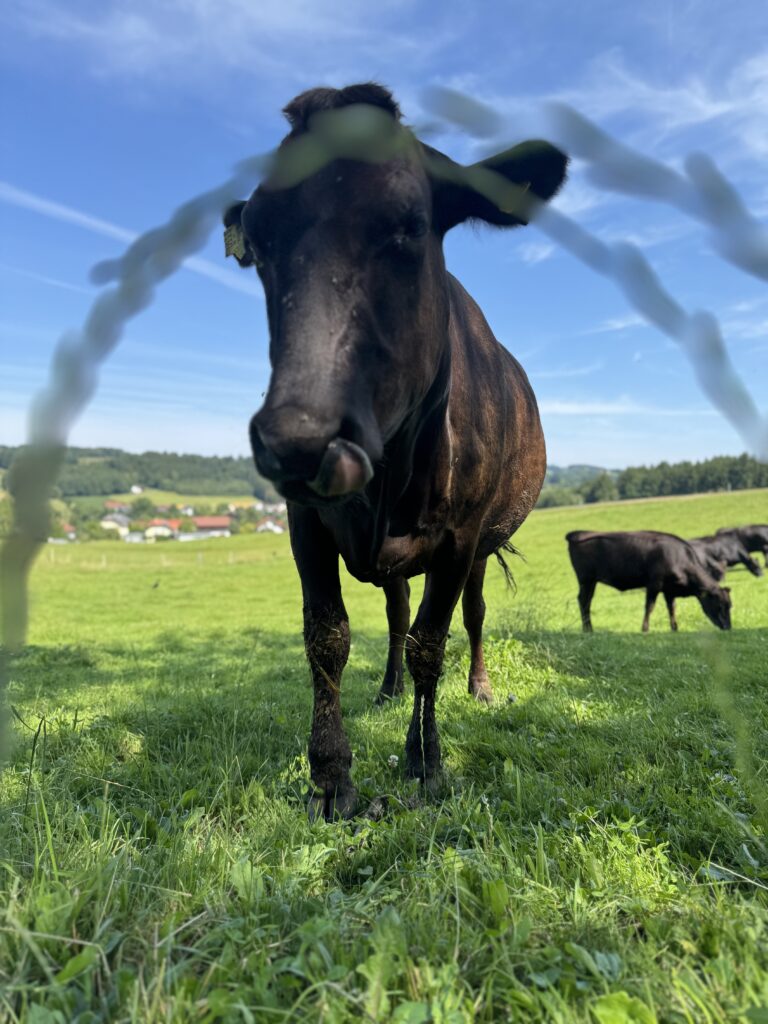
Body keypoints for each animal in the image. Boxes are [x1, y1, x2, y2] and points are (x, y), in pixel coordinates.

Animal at [223, 83, 568, 819]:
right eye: (258, 241)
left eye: (411, 225)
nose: (300, 436)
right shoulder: (306, 520)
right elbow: (328, 635)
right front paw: (331, 776)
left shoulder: (460, 535)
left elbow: (431, 643)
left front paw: (426, 761)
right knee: (393, 611)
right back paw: (386, 692)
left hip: (479, 546)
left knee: (469, 614)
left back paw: (478, 688)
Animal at [565, 530, 732, 633]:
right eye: (719, 605)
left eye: (730, 605)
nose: (728, 627)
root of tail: (577, 533)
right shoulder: (654, 584)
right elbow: (649, 607)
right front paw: (645, 629)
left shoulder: (669, 590)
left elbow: (672, 608)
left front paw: (674, 628)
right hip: (586, 579)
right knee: (584, 601)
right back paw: (588, 629)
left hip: (590, 581)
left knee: (586, 601)